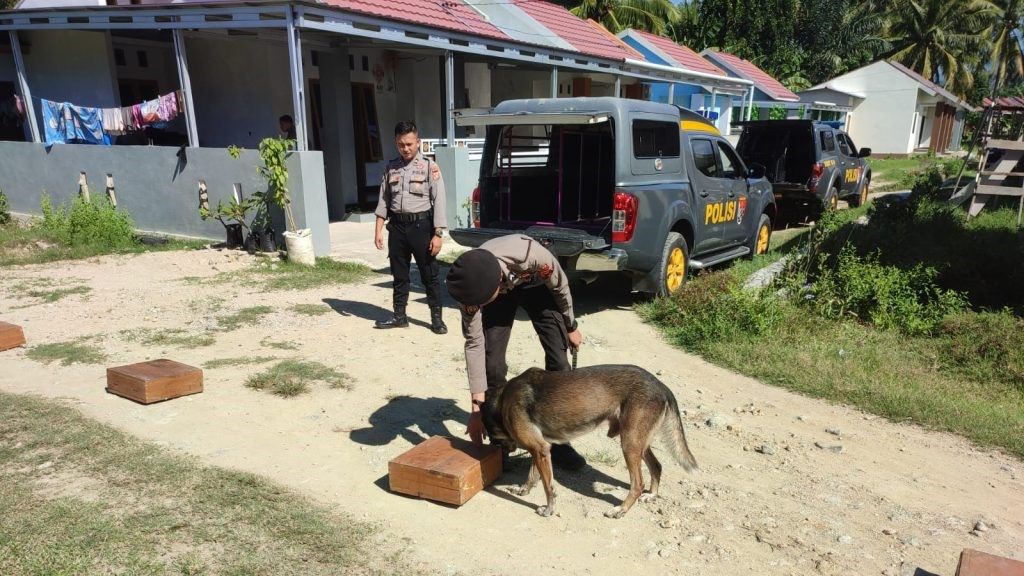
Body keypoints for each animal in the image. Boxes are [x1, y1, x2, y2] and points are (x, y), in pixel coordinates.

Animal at [479, 364, 696, 518]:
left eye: (493, 439)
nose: (503, 456)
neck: (502, 401)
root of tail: (661, 385)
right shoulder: (540, 449)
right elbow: (533, 476)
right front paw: (523, 490)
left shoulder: (540, 448)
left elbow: (549, 487)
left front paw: (549, 509)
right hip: (638, 443)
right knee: (657, 466)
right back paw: (651, 495)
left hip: (630, 444)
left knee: (637, 484)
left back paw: (620, 510)